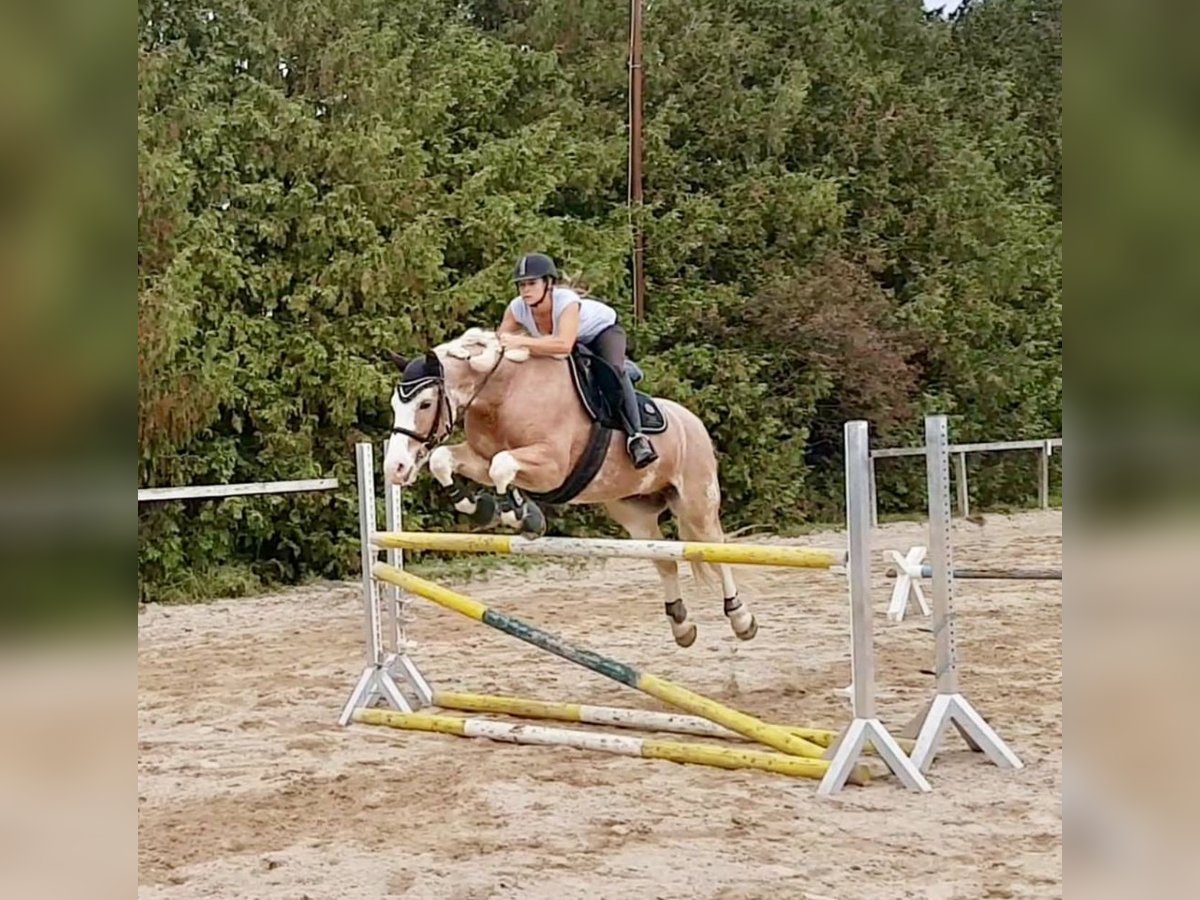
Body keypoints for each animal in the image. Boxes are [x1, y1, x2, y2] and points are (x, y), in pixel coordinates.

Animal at [381, 326, 758, 648]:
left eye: (425, 404)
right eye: (395, 405)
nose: (394, 468)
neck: (503, 392)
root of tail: (692, 420)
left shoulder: (552, 467)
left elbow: (502, 464)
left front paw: (521, 517)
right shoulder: (479, 458)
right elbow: (446, 459)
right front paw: (482, 509)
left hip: (697, 503)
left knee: (716, 550)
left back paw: (741, 618)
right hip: (634, 513)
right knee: (665, 562)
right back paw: (681, 626)